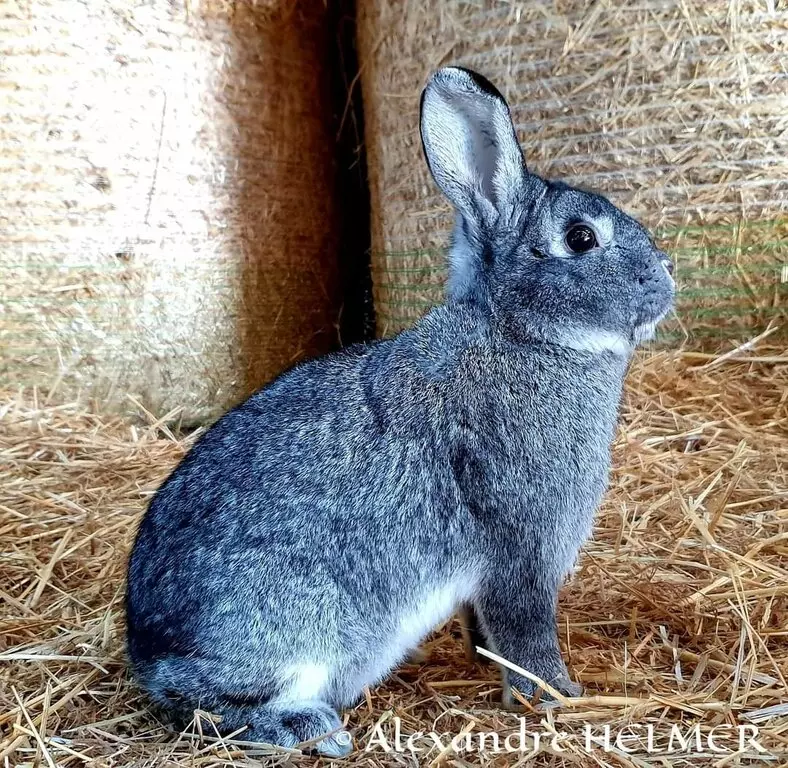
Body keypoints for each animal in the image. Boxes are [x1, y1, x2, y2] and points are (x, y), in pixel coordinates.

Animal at [126, 65, 675, 757]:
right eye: (581, 238)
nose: (667, 278)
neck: (518, 333)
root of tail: (145, 653)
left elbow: (487, 632)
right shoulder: (523, 548)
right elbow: (525, 635)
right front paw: (557, 698)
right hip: (292, 627)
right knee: (207, 703)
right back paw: (309, 728)